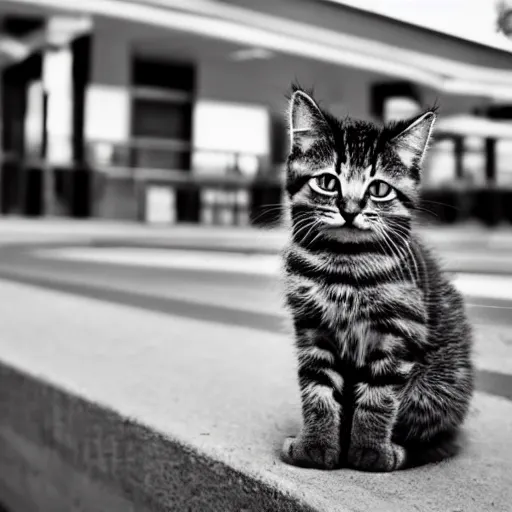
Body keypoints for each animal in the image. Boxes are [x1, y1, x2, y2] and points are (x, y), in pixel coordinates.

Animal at [282, 88, 474, 472]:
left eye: (379, 189)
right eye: (328, 183)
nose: (350, 210)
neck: (344, 264)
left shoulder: (399, 330)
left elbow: (379, 396)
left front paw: (369, 452)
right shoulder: (312, 327)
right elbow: (318, 389)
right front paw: (316, 447)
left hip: (435, 387)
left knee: (437, 439)